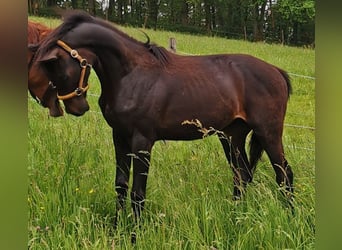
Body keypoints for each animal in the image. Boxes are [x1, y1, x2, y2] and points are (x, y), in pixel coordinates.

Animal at [35, 12, 294, 221]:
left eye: (56, 67)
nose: (77, 108)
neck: (131, 74)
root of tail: (278, 72)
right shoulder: (119, 137)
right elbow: (121, 185)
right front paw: (117, 228)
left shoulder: (142, 141)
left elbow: (138, 193)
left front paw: (135, 234)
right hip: (232, 136)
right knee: (242, 176)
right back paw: (237, 217)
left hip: (268, 133)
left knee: (284, 175)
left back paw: (290, 217)